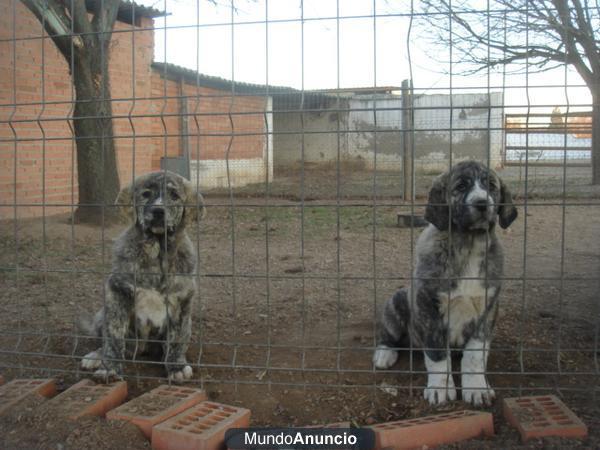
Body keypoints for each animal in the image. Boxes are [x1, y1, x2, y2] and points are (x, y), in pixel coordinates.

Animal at [81, 171, 205, 382]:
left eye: (174, 196)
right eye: (146, 194)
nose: (158, 211)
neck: (156, 252)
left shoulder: (182, 298)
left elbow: (177, 338)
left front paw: (176, 366)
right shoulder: (117, 290)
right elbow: (114, 335)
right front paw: (110, 367)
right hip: (102, 314)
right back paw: (96, 356)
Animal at [372, 163, 516, 408]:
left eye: (491, 186)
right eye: (460, 187)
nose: (482, 203)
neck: (468, 244)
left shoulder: (486, 310)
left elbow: (475, 356)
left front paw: (476, 388)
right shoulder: (429, 306)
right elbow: (438, 355)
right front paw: (440, 388)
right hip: (397, 300)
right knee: (388, 335)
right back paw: (384, 354)